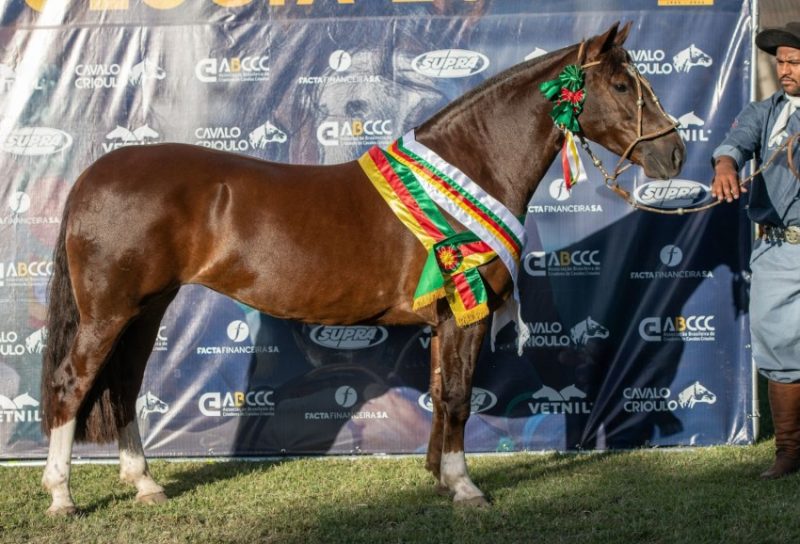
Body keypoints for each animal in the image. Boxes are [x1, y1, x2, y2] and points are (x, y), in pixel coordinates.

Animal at [40, 22, 684, 516]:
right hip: (110, 311)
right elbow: (459, 397)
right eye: (622, 84)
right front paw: (467, 488)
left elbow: (440, 392)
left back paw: (145, 484)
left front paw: (439, 479)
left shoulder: (443, 320)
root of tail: (93, 175)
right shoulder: (466, 313)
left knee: (124, 385)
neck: (469, 167)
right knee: (73, 384)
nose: (674, 152)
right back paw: (62, 496)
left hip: (146, 310)